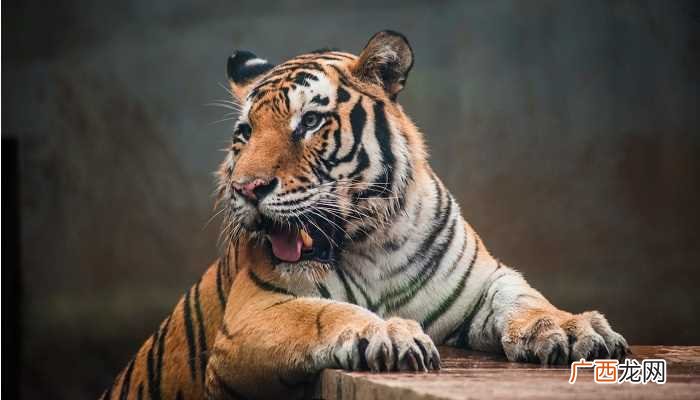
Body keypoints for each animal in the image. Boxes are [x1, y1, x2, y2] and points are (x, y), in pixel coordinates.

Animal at [101, 30, 629, 400]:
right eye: (245, 133)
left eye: (310, 122)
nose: (246, 189)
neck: (376, 243)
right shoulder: (253, 313)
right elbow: (324, 313)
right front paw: (389, 332)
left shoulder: (484, 281)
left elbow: (525, 299)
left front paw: (570, 328)